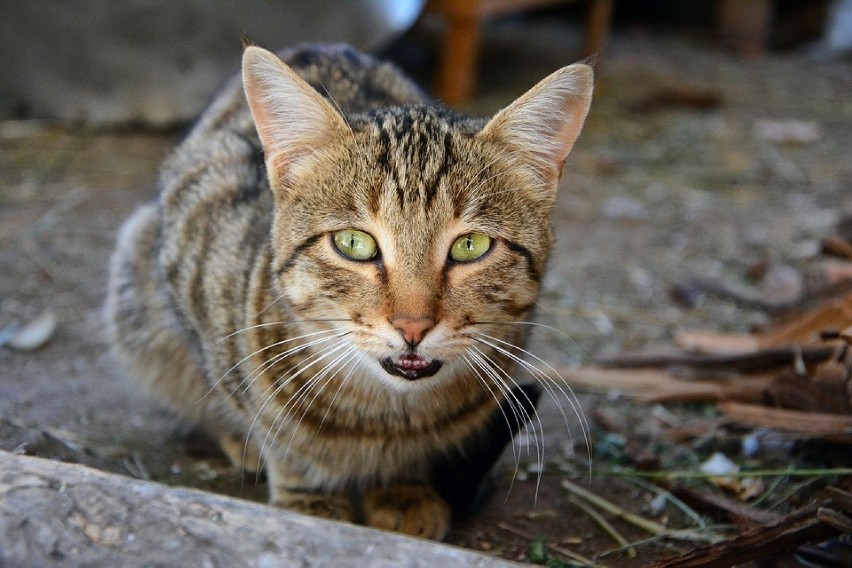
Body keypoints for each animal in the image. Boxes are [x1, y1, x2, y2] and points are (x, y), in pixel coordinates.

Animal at [106, 42, 592, 540]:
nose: (412, 326)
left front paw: (402, 489)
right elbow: (273, 426)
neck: (382, 417)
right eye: (354, 243)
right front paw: (309, 495)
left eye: (470, 245)